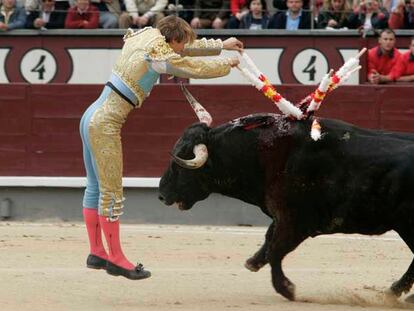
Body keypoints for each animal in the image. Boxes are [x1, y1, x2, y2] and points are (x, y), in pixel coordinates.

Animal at [158, 86, 414, 302]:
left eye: (179, 164)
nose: (161, 194)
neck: (262, 153)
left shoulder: (295, 221)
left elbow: (276, 251)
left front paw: (287, 289)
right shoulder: (281, 217)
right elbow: (269, 241)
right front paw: (253, 262)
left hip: (406, 226)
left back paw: (396, 292)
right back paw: (397, 292)